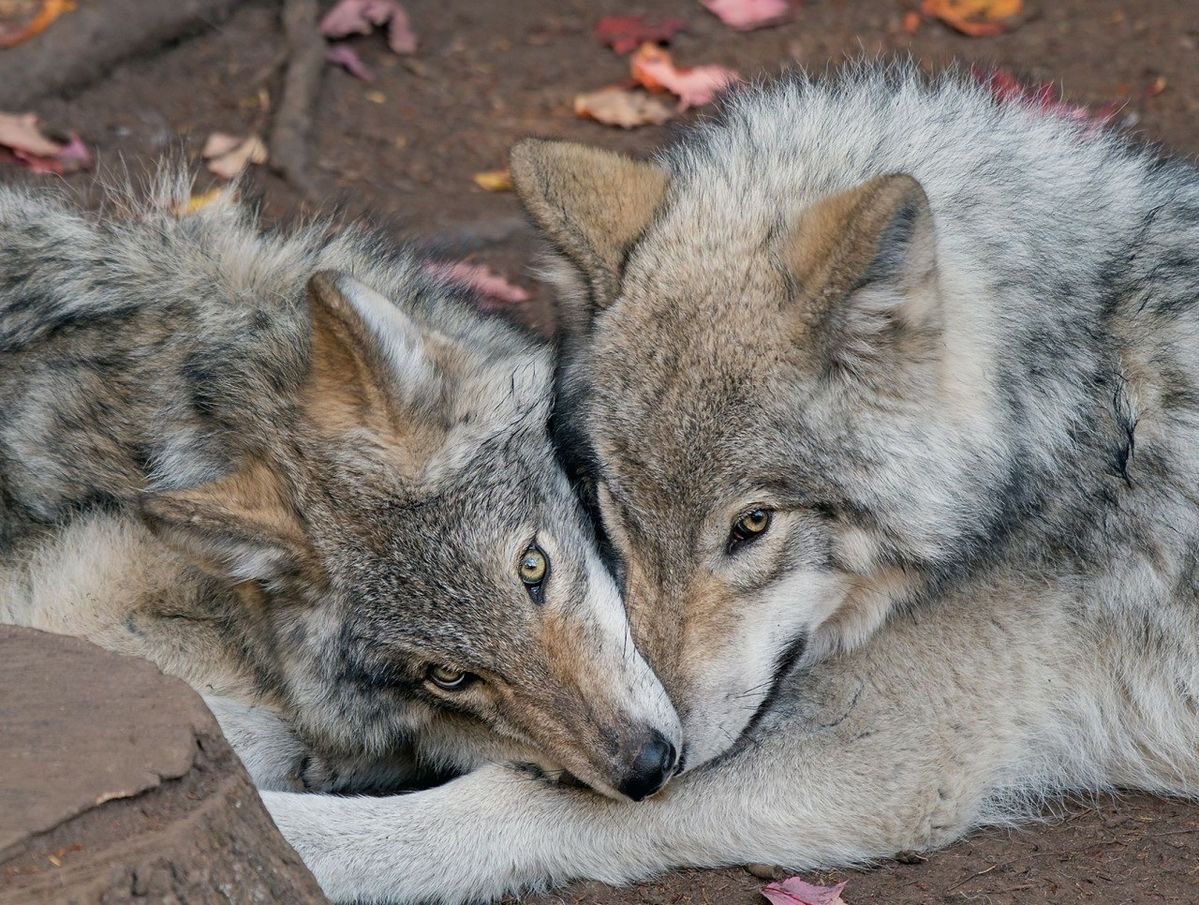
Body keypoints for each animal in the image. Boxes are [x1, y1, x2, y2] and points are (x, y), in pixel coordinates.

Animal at [261, 62, 1199, 903]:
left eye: (751, 525)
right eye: (614, 512)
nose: (661, 749)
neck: (1070, 389)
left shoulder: (883, 755)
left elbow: (497, 798)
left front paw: (303, 833)